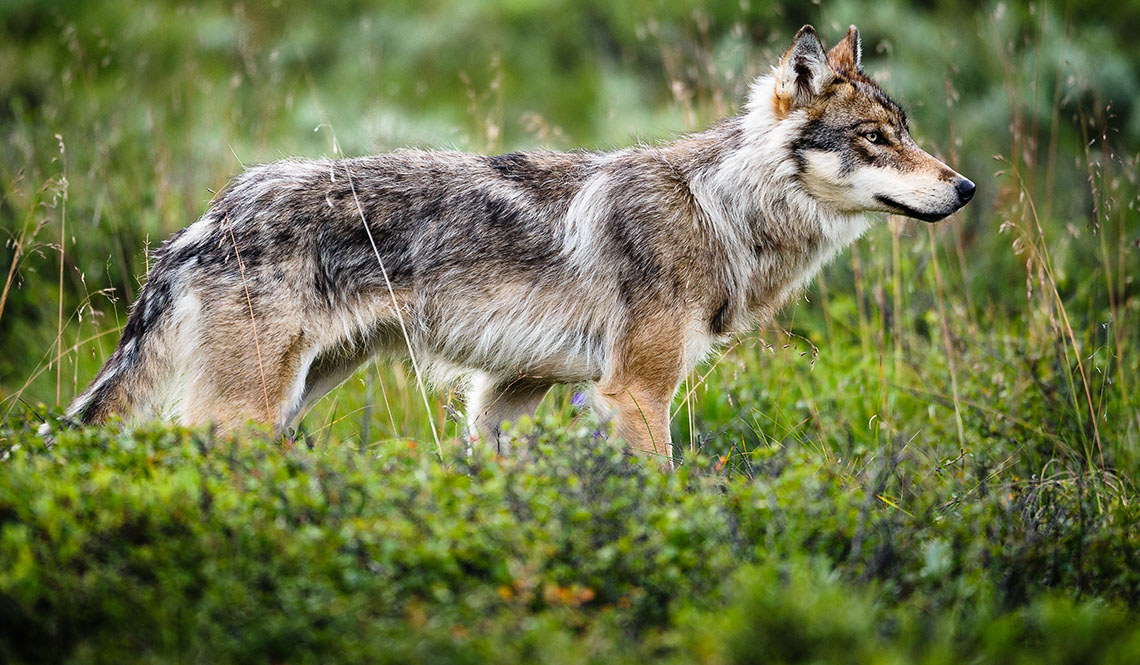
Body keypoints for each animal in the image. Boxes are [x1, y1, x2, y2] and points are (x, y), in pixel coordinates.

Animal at [62, 24, 971, 463]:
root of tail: (210, 215)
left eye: (906, 132)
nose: (963, 187)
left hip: (300, 393)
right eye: (877, 139)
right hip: (250, 410)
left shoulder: (505, 395)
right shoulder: (634, 392)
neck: (718, 209)